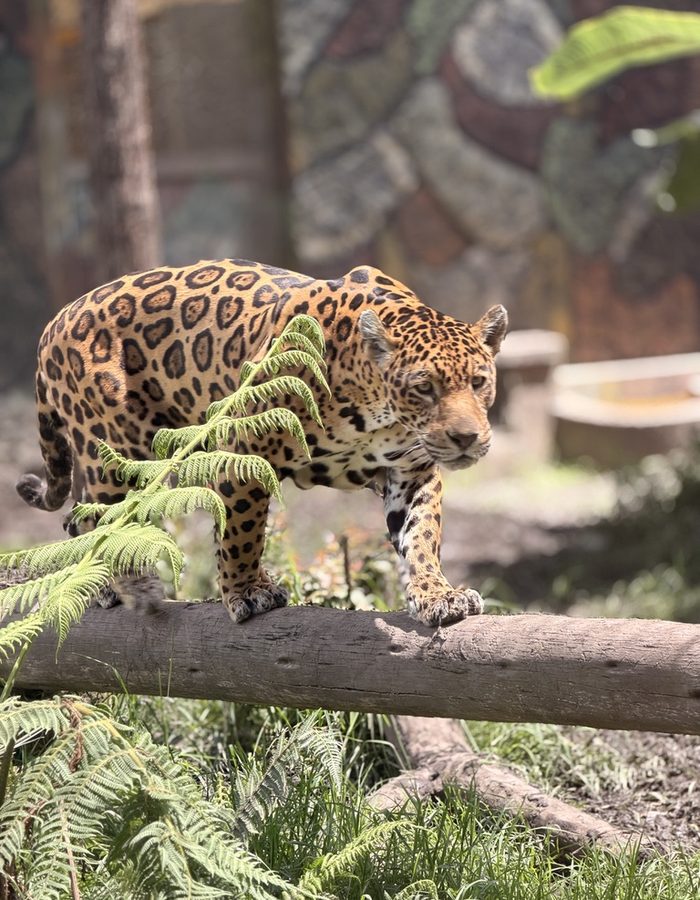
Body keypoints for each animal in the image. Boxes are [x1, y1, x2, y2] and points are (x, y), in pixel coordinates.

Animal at [17, 259, 507, 627]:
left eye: (478, 382)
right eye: (424, 388)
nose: (466, 437)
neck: (374, 410)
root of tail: (55, 321)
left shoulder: (411, 472)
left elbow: (422, 535)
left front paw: (437, 594)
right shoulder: (244, 452)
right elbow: (242, 532)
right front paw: (248, 592)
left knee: (78, 517)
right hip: (117, 455)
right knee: (99, 517)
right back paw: (120, 587)